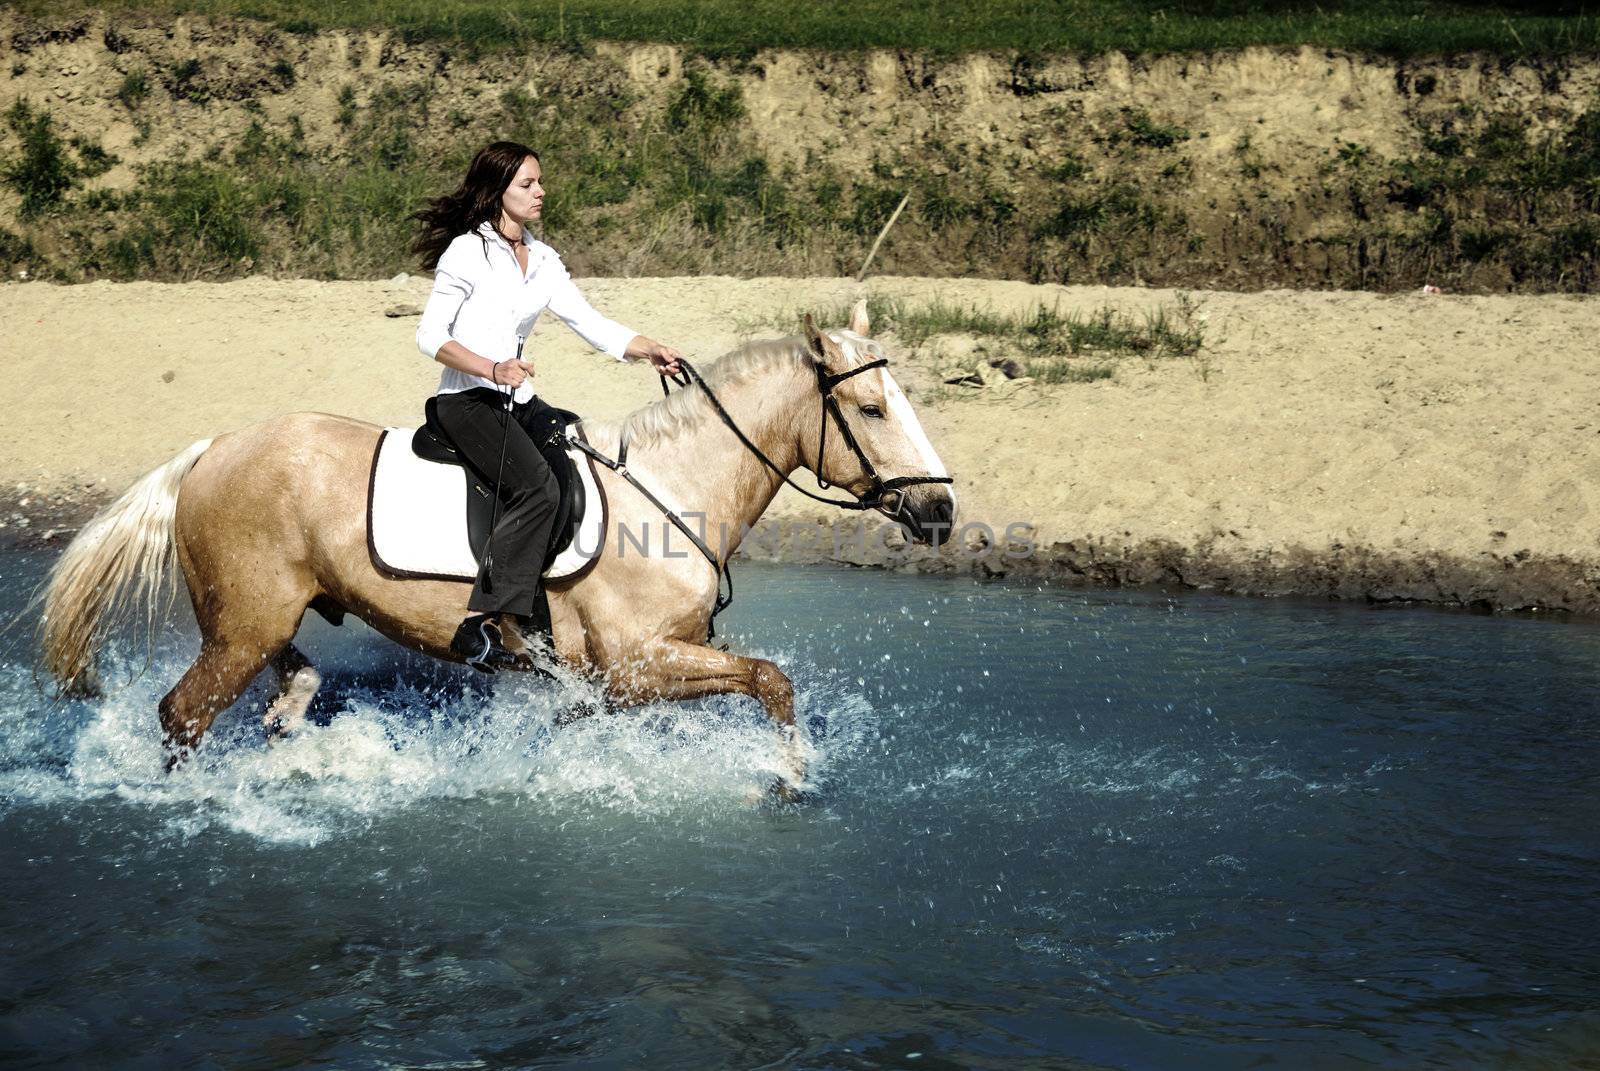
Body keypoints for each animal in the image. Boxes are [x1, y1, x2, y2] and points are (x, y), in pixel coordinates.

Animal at [37, 300, 953, 794]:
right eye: (871, 408)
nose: (941, 509)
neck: (671, 488)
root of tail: (211, 449)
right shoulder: (634, 669)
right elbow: (771, 679)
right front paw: (790, 778)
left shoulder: (615, 680)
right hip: (241, 628)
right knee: (182, 715)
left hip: (261, 622)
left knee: (285, 687)